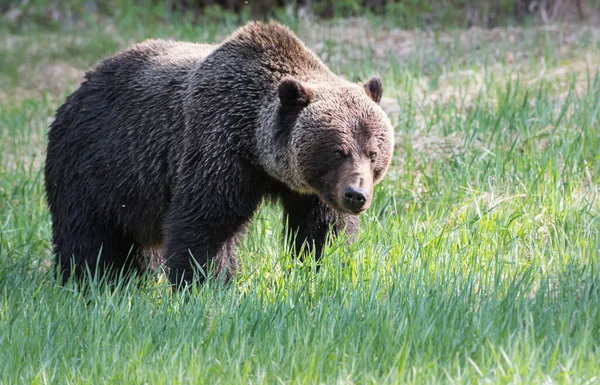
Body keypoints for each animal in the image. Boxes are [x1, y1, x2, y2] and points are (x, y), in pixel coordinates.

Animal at [44, 20, 396, 284]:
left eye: (373, 153)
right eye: (338, 150)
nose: (356, 195)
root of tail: (78, 90)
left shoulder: (312, 190)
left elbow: (322, 231)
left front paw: (319, 269)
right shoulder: (219, 144)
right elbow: (207, 222)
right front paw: (208, 284)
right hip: (94, 164)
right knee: (87, 235)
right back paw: (89, 280)